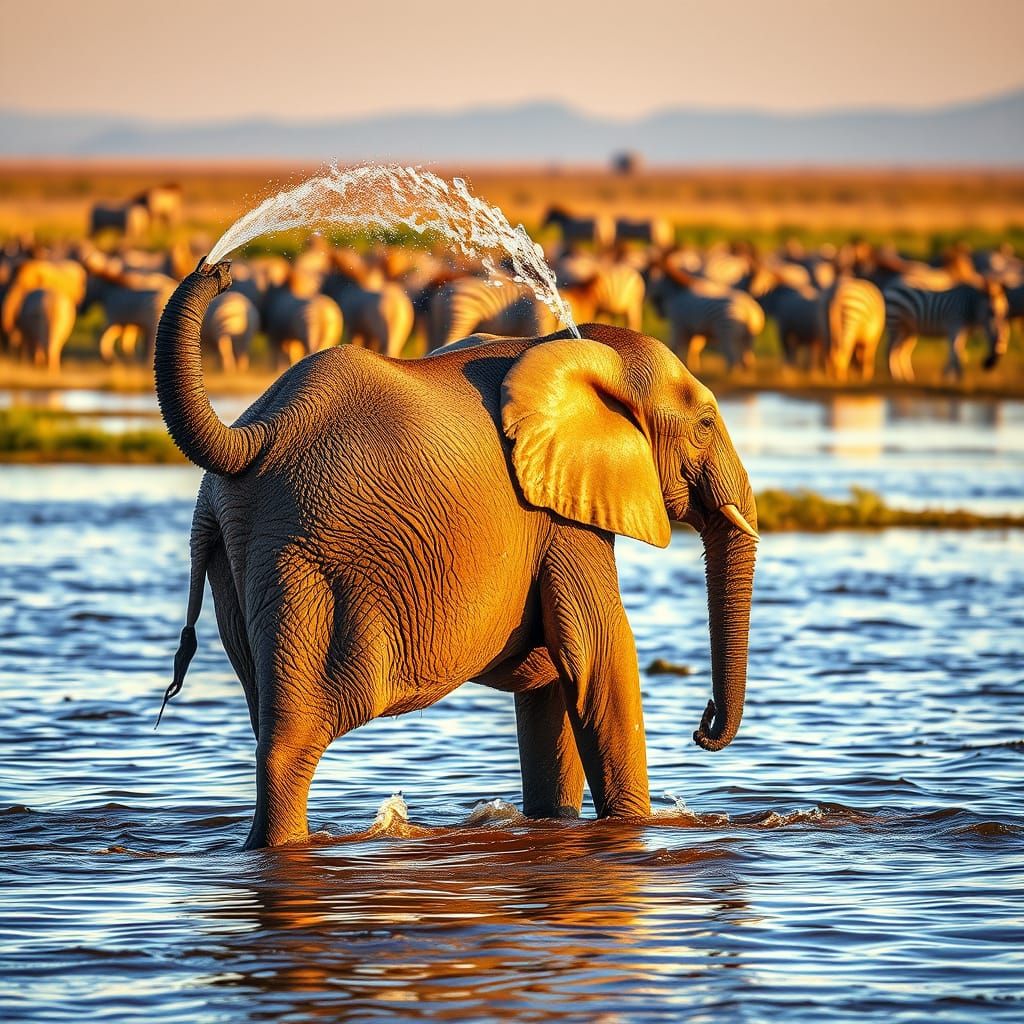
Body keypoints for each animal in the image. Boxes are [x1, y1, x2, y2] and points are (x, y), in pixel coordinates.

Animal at [155, 261, 759, 850]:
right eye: (705, 425)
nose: (703, 723)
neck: (579, 346)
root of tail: (254, 434)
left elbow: (550, 678)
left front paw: (555, 827)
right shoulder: (560, 520)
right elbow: (599, 651)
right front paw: (636, 834)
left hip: (233, 549)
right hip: (306, 556)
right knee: (293, 739)